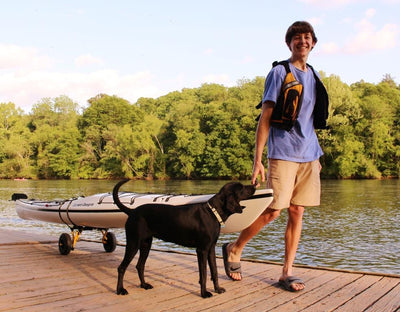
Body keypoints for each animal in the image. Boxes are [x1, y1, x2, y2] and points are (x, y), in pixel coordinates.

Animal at [112, 179, 256, 298]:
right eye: (241, 188)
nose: (255, 185)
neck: (212, 212)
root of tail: (132, 211)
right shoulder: (202, 250)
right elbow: (204, 274)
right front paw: (204, 293)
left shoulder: (211, 249)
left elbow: (214, 271)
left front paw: (217, 289)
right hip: (133, 243)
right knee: (121, 268)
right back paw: (120, 290)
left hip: (146, 244)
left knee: (139, 266)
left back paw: (144, 285)